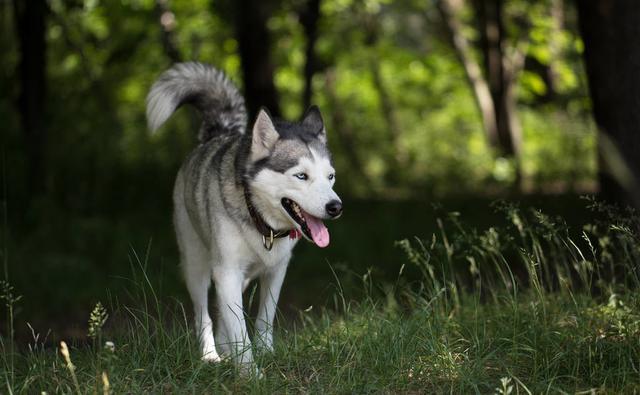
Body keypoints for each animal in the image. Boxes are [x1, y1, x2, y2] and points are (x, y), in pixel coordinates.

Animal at [147, 62, 342, 372]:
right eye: (301, 176)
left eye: (331, 177)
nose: (336, 206)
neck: (262, 223)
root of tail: (217, 134)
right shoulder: (226, 271)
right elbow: (238, 324)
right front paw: (250, 372)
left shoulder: (276, 270)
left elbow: (263, 317)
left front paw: (265, 353)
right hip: (196, 265)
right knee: (203, 313)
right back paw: (210, 355)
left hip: (240, 276)